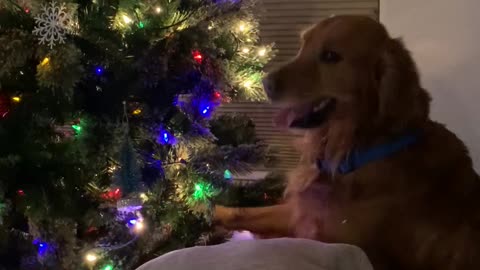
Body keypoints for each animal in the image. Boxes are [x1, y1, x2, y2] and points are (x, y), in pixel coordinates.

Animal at [215, 16, 480, 270]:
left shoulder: (337, 242)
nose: (264, 83)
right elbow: (241, 212)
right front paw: (211, 213)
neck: (351, 149)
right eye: (302, 46)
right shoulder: (302, 213)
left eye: (331, 56)